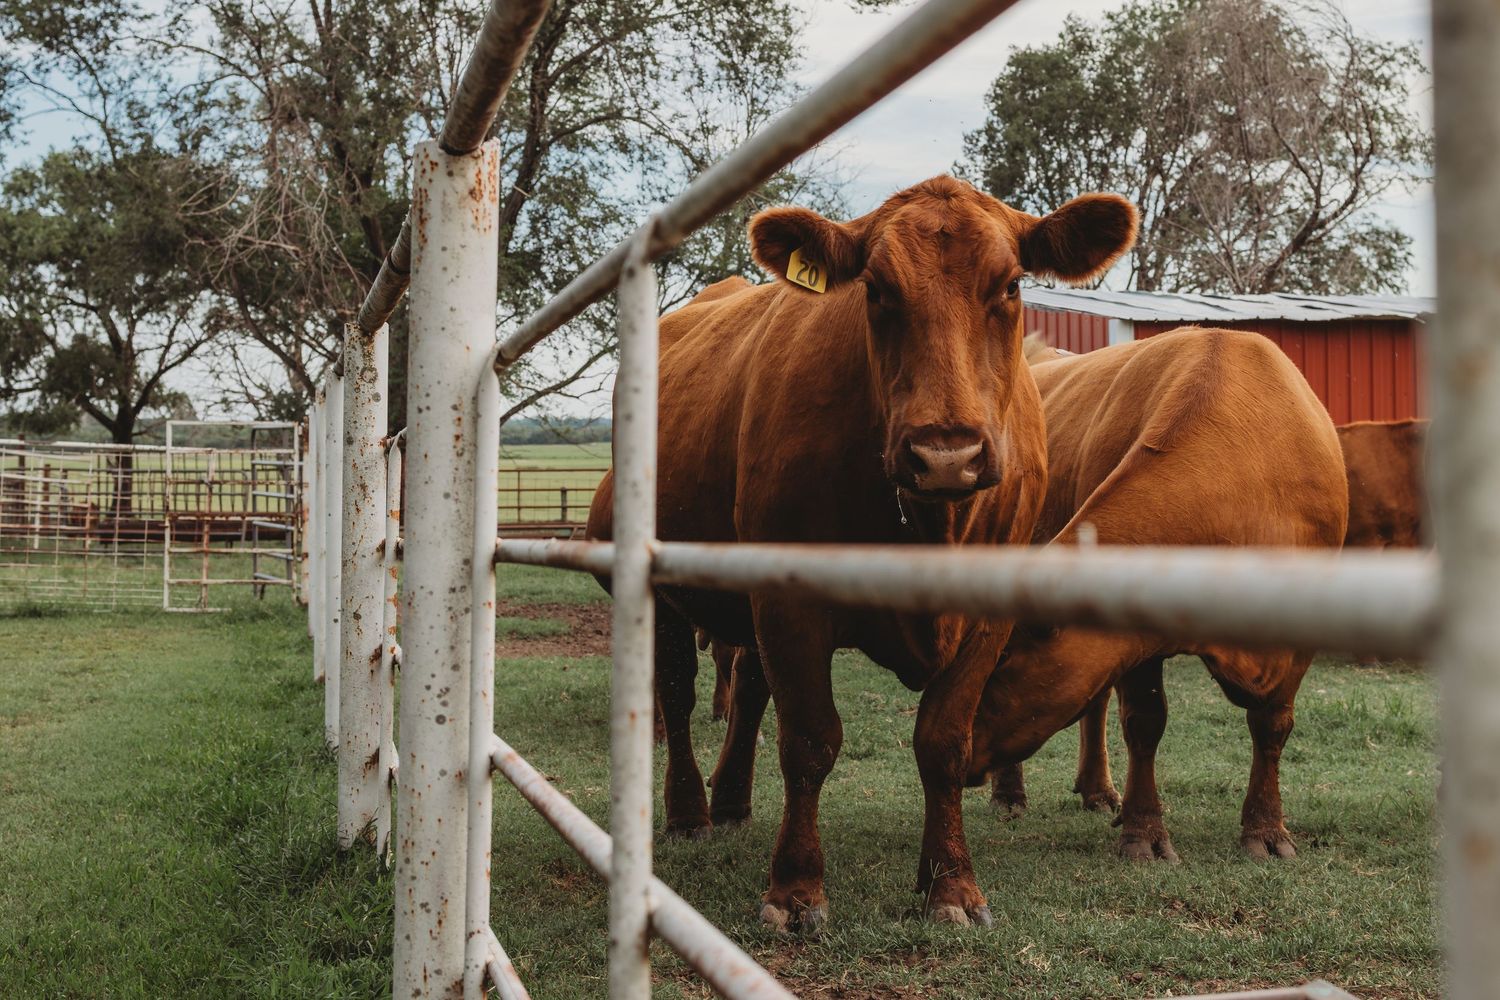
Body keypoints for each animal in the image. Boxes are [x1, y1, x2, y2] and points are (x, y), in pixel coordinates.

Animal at [587, 176, 1138, 930]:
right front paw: (795, 890)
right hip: (668, 590)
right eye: (876, 289)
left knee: (749, 689)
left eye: (1011, 286)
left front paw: (952, 886)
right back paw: (692, 812)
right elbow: (809, 740)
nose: (946, 454)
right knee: (675, 690)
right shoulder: (789, 602)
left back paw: (731, 801)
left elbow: (943, 741)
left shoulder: (986, 618)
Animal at [967, 327, 1348, 863]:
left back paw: (1098, 791)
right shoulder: (1135, 641)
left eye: (1001, 660)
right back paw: (1011, 795)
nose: (952, 747)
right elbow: (1145, 723)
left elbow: (1271, 725)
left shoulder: (1297, 643)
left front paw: (1267, 829)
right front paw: (1144, 832)